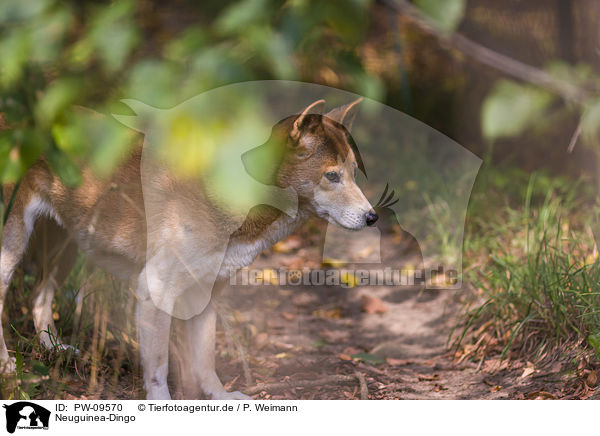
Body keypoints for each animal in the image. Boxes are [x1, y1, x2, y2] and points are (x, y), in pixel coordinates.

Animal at [0, 98, 378, 398]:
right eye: (331, 176)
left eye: (353, 172)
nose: (372, 217)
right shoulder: (153, 289)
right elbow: (158, 367)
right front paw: (162, 403)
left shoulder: (206, 295)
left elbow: (204, 361)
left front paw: (219, 396)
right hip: (12, 245)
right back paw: (8, 368)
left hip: (69, 243)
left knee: (39, 296)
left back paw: (53, 348)